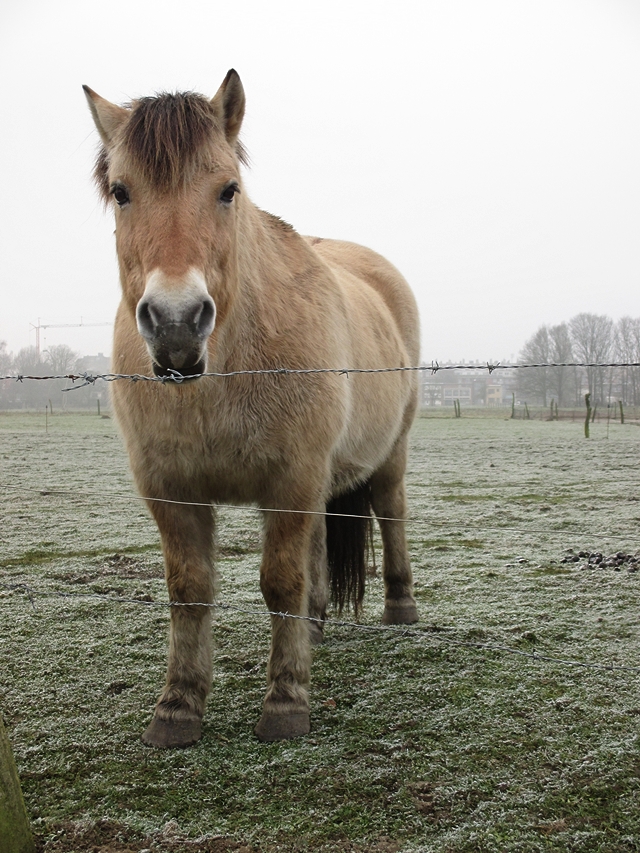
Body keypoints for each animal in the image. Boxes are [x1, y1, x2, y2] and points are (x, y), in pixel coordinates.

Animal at [84, 71, 420, 744]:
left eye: (227, 190)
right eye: (122, 192)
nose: (177, 324)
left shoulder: (288, 480)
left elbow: (279, 582)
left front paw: (286, 702)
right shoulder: (172, 492)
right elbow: (189, 590)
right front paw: (178, 708)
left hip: (387, 455)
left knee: (390, 512)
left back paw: (400, 608)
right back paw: (315, 625)